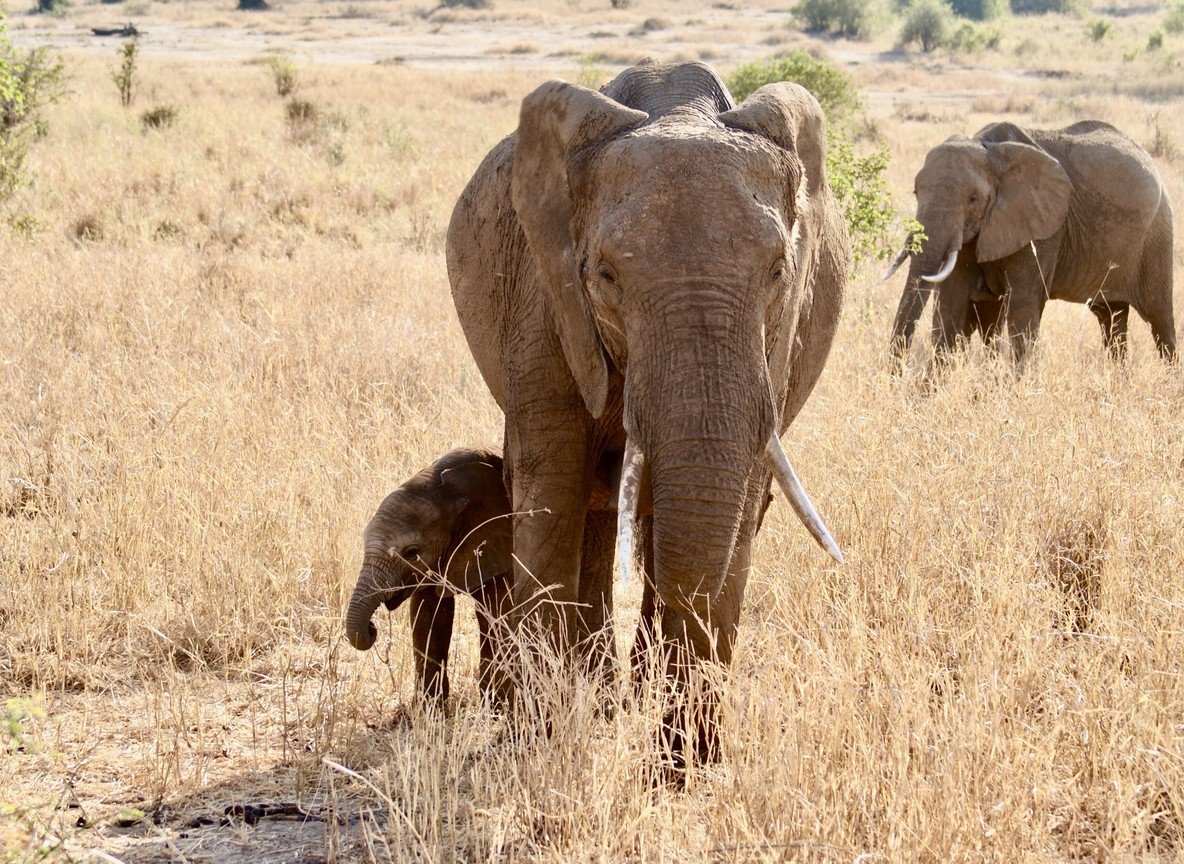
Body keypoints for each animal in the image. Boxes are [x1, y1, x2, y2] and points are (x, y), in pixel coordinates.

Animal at [344, 448, 514, 704]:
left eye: (412, 553)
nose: (372, 628)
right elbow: (428, 615)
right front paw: (429, 709)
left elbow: (497, 617)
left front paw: (496, 705)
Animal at [446, 60, 848, 760]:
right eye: (606, 275)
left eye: (779, 271)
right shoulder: (545, 298)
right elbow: (551, 489)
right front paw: (542, 744)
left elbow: (739, 503)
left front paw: (682, 769)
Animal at [885, 120, 1176, 370]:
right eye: (915, 192)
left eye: (973, 199)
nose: (896, 374)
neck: (988, 149)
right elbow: (950, 303)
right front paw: (930, 392)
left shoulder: (1043, 227)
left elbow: (1023, 305)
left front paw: (1013, 390)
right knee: (1111, 317)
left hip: (1157, 236)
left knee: (1159, 319)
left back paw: (1169, 378)